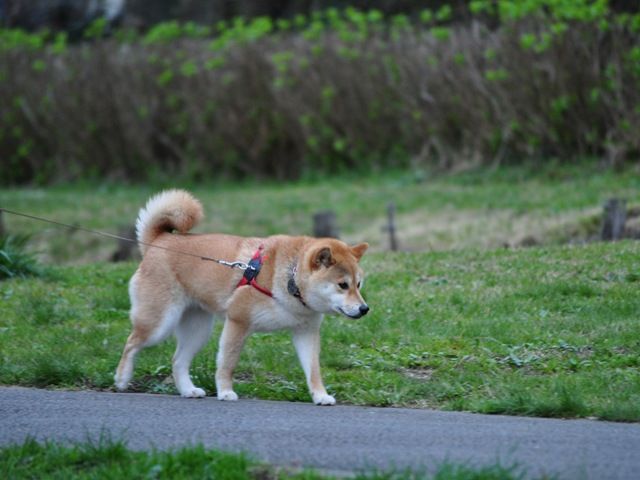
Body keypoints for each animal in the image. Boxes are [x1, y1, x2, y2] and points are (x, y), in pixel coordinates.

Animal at [114, 189, 369, 405]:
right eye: (342, 285)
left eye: (358, 284)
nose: (364, 309)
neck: (290, 280)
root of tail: (159, 241)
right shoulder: (238, 322)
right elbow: (228, 363)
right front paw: (225, 391)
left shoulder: (306, 332)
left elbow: (313, 370)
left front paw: (320, 395)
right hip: (159, 324)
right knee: (131, 343)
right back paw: (122, 378)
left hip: (198, 330)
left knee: (177, 361)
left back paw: (188, 390)